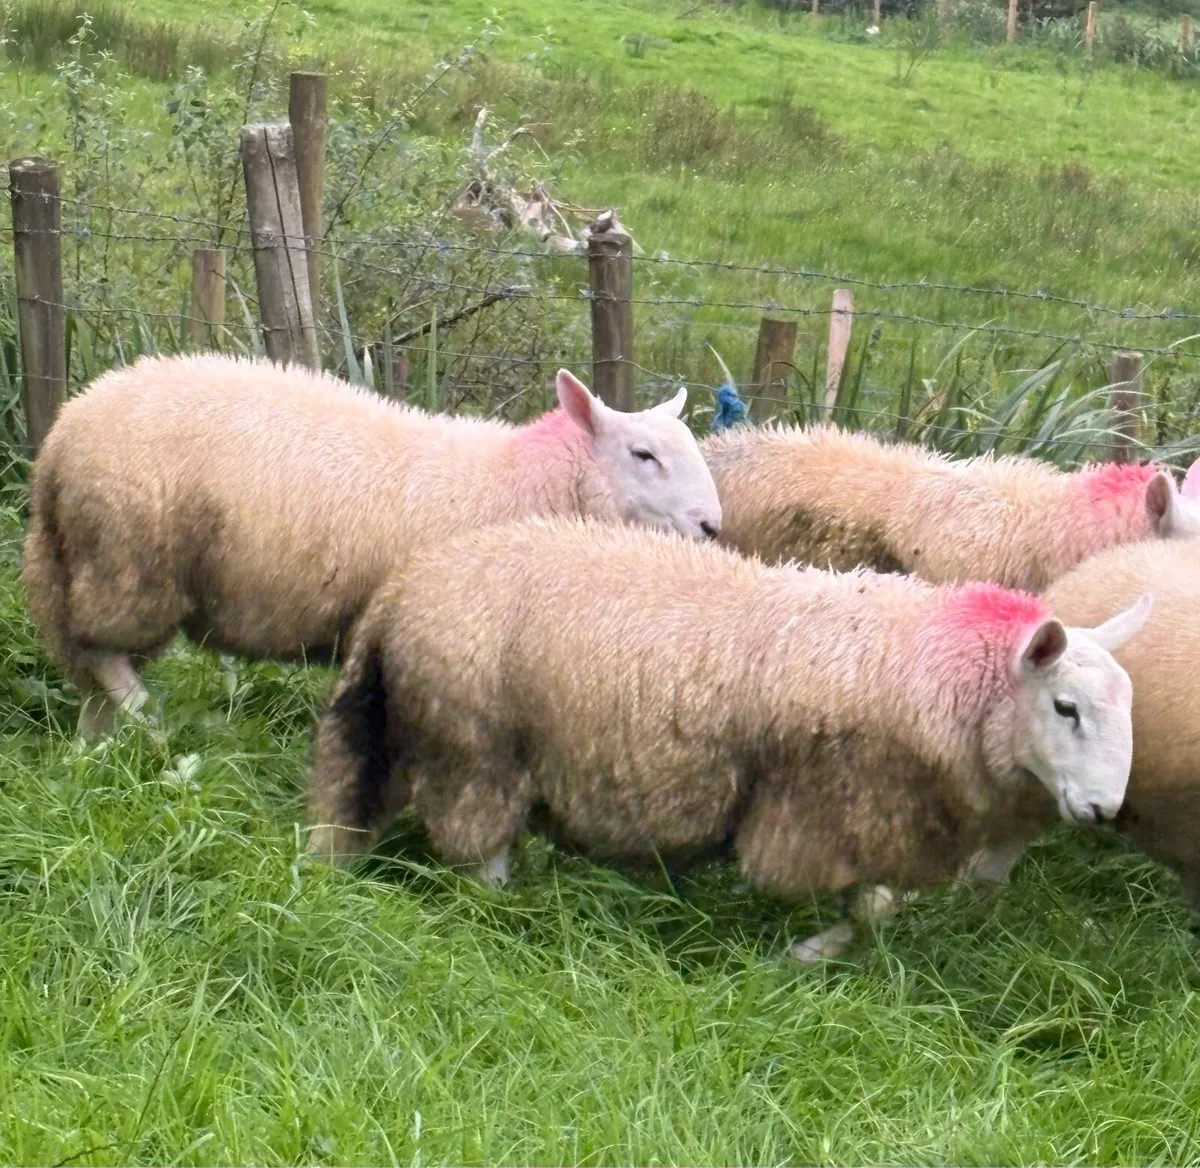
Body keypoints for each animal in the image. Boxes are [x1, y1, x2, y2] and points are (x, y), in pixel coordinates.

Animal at [21, 353, 722, 737]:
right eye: (643, 454)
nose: (713, 525)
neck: (524, 481)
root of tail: (61, 436)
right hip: (126, 562)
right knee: (105, 658)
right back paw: (150, 727)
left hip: (98, 566)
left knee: (92, 670)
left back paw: (96, 748)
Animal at [304, 516, 1150, 960]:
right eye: (1066, 708)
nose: (1105, 810)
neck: (938, 675)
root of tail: (405, 586)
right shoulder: (831, 808)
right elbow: (862, 906)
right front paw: (806, 956)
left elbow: (879, 904)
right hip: (478, 745)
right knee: (479, 851)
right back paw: (510, 911)